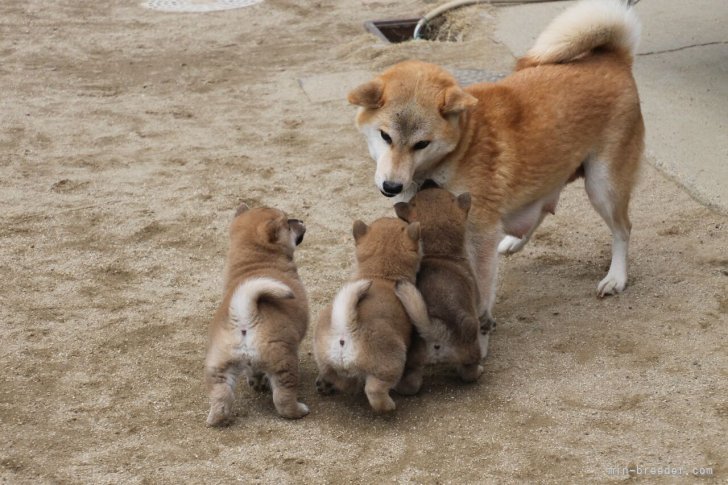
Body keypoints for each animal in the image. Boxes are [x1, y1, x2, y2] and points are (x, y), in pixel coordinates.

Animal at [203, 203, 308, 424]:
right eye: (288, 223)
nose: (301, 220)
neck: (256, 262)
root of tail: (245, 312)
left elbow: (254, 371)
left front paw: (257, 382)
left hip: (218, 367)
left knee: (221, 398)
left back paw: (216, 419)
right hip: (283, 363)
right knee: (283, 399)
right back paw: (299, 410)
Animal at [312, 217, 426, 410]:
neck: (381, 275)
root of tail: (346, 326)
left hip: (327, 363)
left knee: (341, 380)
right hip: (391, 362)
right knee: (374, 391)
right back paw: (388, 405)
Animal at [350, 0, 644, 322]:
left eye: (421, 144)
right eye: (385, 136)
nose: (391, 186)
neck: (460, 148)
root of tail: (612, 59)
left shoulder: (479, 233)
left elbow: (479, 281)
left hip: (601, 186)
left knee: (623, 230)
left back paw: (616, 277)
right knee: (540, 208)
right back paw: (516, 240)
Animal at [392, 182, 490, 382]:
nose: (428, 181)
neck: (439, 253)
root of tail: (434, 329)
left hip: (412, 367)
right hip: (469, 348)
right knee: (467, 373)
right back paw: (478, 371)